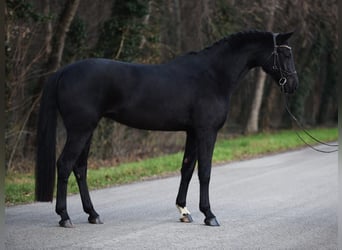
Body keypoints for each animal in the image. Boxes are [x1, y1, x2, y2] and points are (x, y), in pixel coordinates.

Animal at [34, 30, 296, 228]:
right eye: (284, 53)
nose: (294, 84)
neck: (213, 75)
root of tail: (63, 72)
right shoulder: (207, 132)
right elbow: (205, 172)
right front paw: (209, 215)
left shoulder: (192, 132)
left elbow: (187, 169)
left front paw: (184, 211)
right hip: (80, 130)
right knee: (65, 165)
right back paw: (65, 217)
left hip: (87, 130)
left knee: (80, 168)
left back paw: (93, 214)